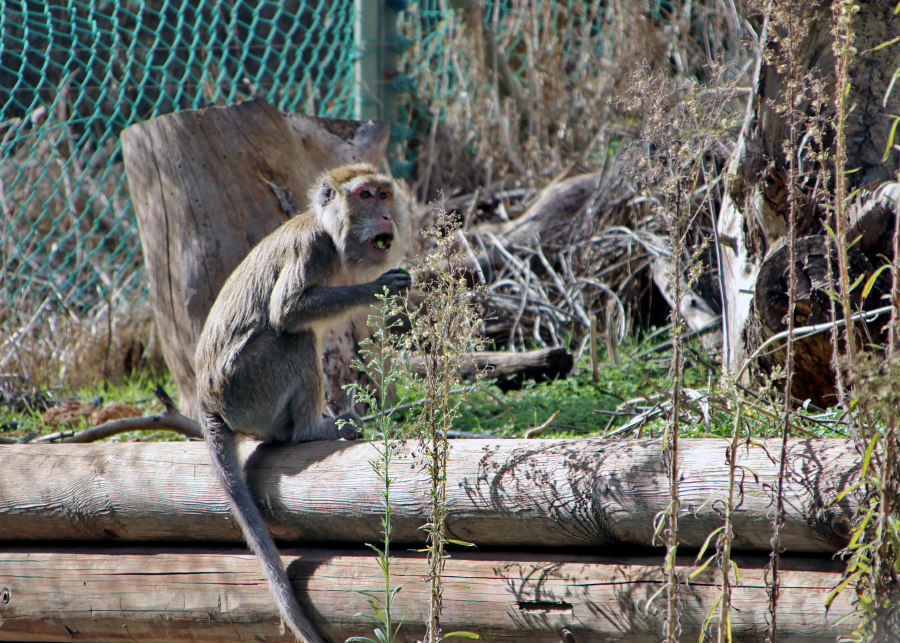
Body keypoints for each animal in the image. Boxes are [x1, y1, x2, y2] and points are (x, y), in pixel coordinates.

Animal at [195, 165, 414, 643]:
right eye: (365, 195)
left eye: (384, 194)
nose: (386, 215)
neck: (331, 234)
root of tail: (206, 401)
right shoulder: (312, 249)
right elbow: (289, 311)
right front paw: (378, 287)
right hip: (247, 386)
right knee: (292, 337)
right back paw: (314, 430)